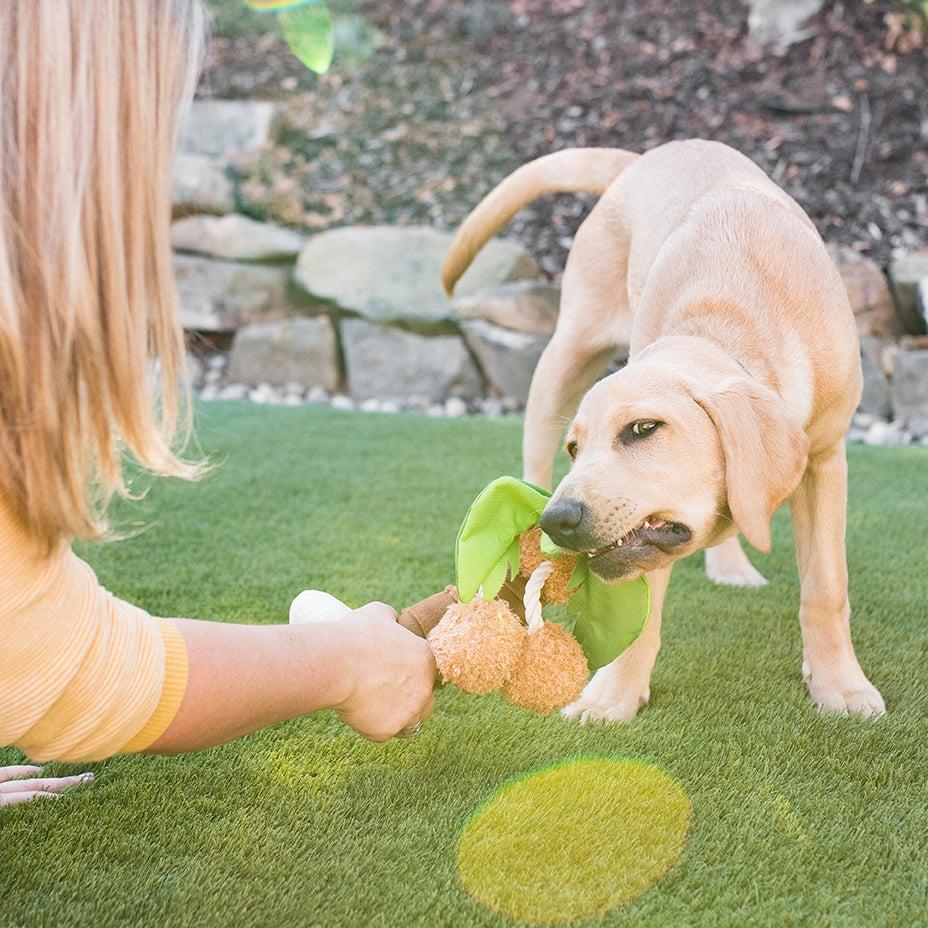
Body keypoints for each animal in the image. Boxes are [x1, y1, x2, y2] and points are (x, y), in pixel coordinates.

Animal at [442, 141, 884, 728]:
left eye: (644, 428)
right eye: (575, 449)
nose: (557, 520)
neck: (730, 318)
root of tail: (650, 155)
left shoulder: (825, 458)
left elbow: (826, 588)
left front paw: (841, 687)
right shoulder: (636, 542)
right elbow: (637, 616)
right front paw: (611, 697)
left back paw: (729, 564)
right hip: (566, 353)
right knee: (533, 452)